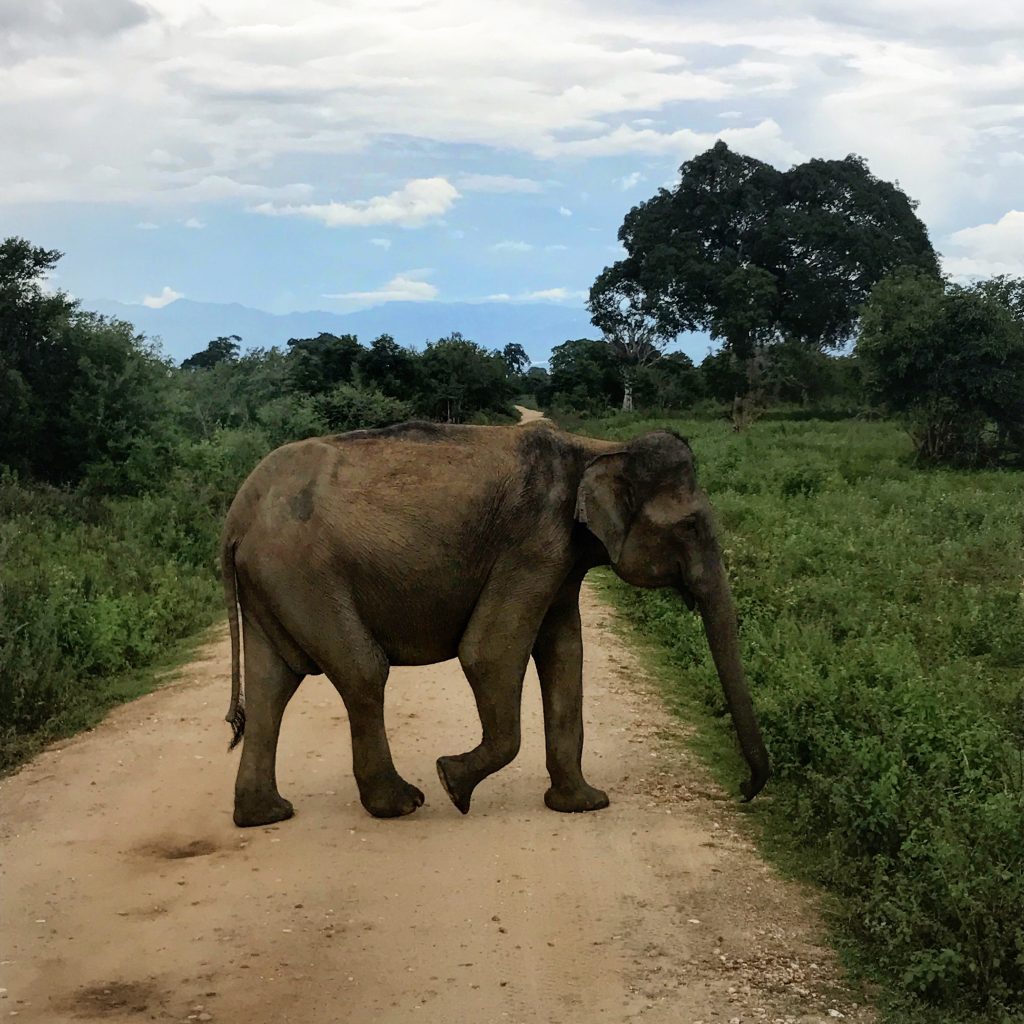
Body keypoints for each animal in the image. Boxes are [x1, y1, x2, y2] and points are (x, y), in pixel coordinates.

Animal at [222, 419, 770, 827]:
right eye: (692, 526)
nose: (743, 789)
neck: (596, 448)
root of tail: (237, 514)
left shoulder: (561, 558)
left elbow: (565, 652)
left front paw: (584, 804)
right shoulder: (534, 541)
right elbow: (489, 652)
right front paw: (452, 782)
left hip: (273, 581)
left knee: (272, 684)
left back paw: (266, 815)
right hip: (304, 573)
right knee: (362, 671)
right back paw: (404, 804)